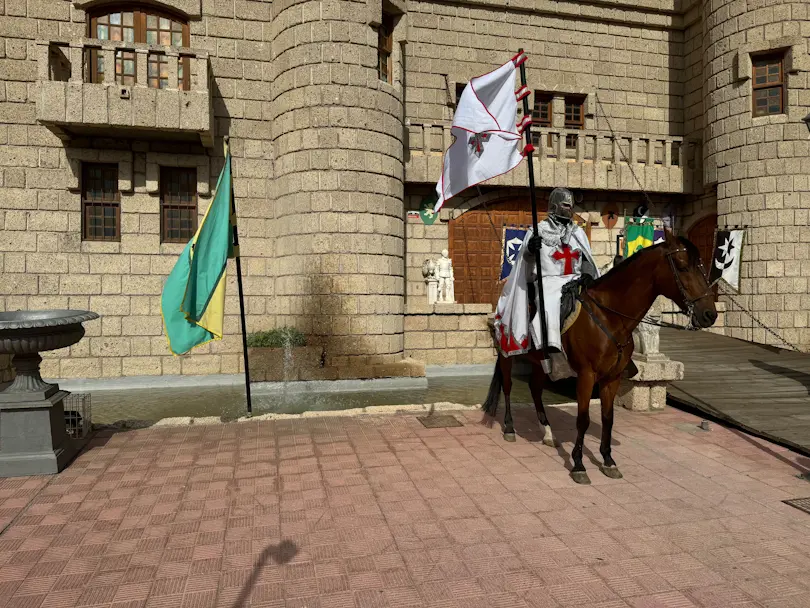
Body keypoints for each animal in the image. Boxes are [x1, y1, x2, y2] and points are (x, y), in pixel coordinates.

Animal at [480, 228, 712, 484]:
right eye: (682, 266)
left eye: (701, 266)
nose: (709, 314)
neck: (610, 317)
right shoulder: (586, 375)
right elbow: (583, 418)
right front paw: (578, 465)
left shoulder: (612, 378)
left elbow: (608, 418)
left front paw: (608, 460)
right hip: (508, 354)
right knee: (508, 385)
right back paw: (510, 428)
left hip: (541, 361)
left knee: (535, 388)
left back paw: (547, 432)